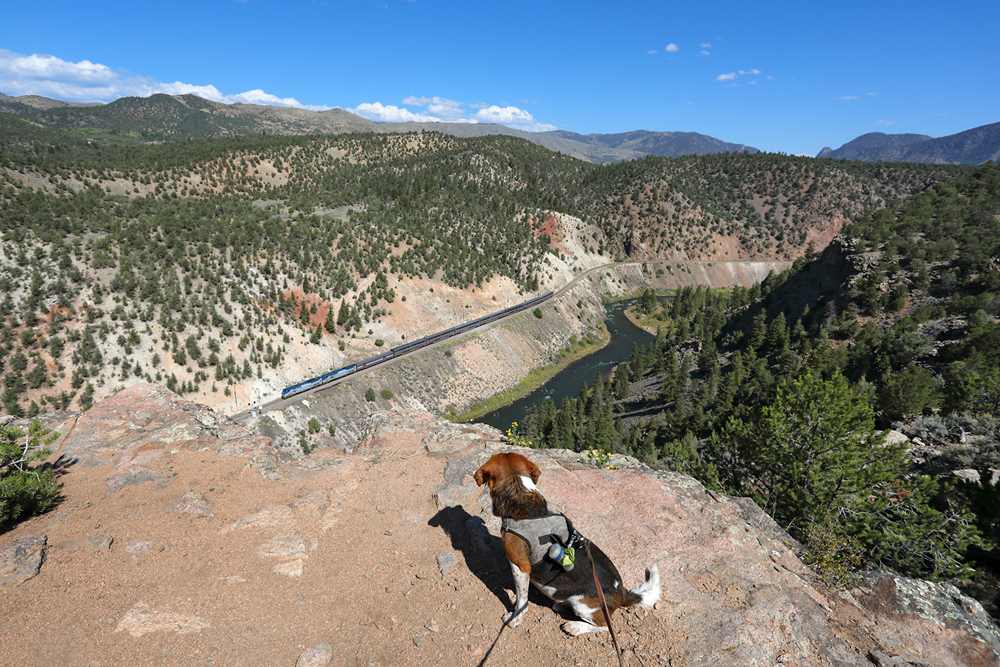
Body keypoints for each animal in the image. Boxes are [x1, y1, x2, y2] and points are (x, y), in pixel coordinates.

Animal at [472, 452, 660, 636]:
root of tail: (622, 593)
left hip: (583, 607)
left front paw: (515, 618)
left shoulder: (520, 566)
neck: (522, 495)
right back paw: (562, 604)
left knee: (605, 626)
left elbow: (521, 600)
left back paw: (575, 627)